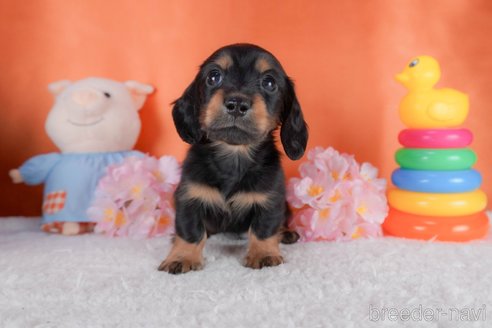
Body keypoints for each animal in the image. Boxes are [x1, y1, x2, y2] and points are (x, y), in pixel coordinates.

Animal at [159, 43, 308, 274]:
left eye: (269, 82)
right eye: (214, 76)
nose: (237, 103)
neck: (234, 154)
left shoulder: (271, 199)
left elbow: (264, 228)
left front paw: (264, 254)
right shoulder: (188, 197)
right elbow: (190, 230)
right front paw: (182, 256)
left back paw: (286, 232)